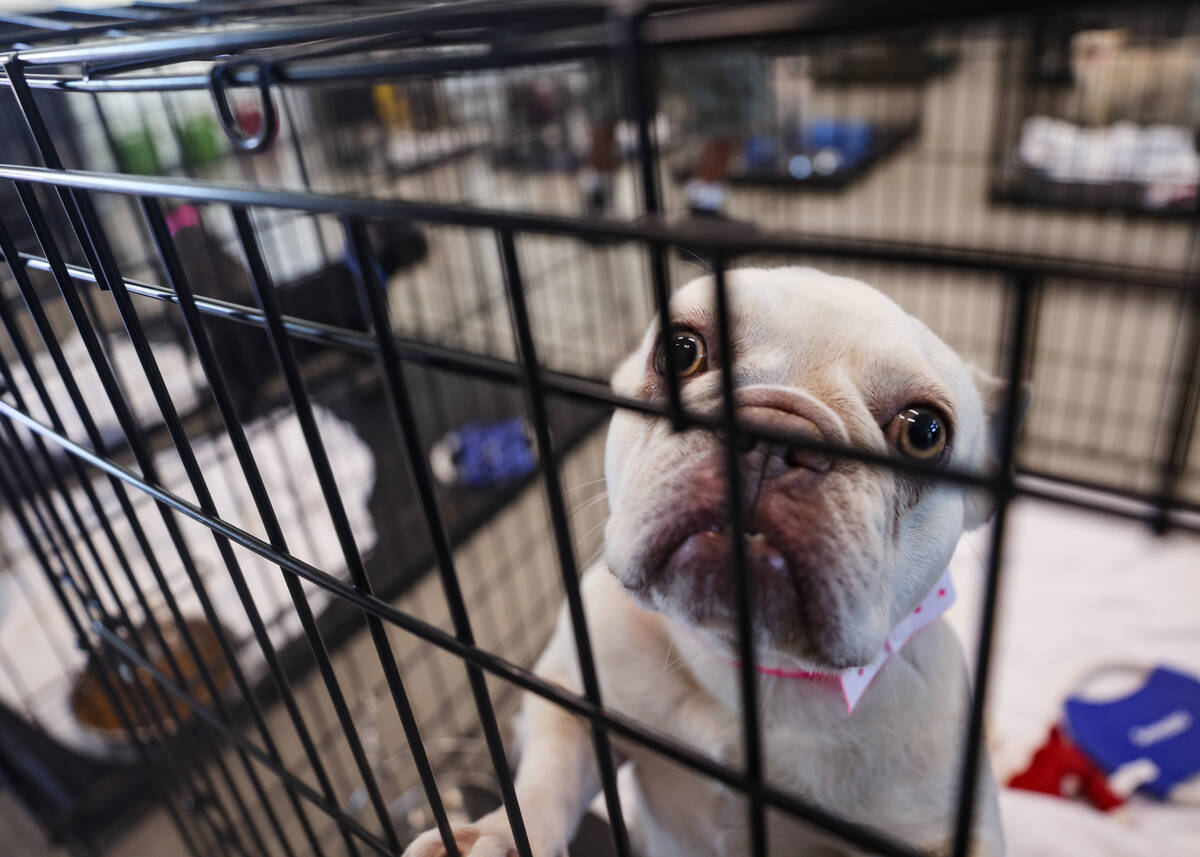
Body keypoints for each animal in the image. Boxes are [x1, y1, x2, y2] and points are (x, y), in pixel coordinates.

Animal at [408, 264, 1017, 849]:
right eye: (681, 351)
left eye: (925, 432)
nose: (774, 433)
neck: (745, 665)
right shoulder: (571, 693)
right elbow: (547, 774)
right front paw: (495, 835)